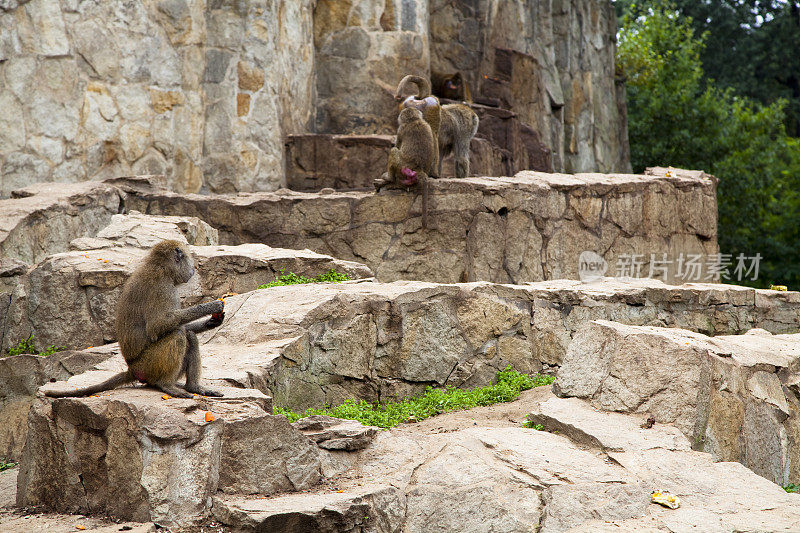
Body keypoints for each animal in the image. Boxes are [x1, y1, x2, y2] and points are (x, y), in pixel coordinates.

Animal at [46, 239, 225, 396]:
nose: (193, 269)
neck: (162, 268)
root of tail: (131, 369)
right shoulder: (163, 289)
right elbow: (158, 325)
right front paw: (211, 306)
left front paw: (212, 322)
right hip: (147, 366)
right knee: (178, 335)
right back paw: (167, 385)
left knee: (189, 335)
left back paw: (193, 387)